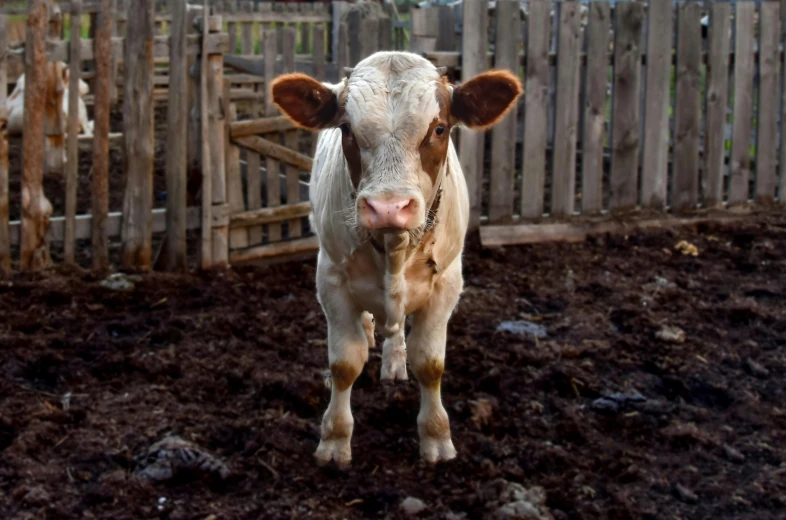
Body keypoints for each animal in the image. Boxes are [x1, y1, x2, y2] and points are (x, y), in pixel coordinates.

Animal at [270, 51, 520, 468]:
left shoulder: (448, 282)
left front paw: (436, 436)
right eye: (347, 129)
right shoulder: (330, 279)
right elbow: (344, 363)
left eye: (439, 128)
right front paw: (335, 439)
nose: (388, 208)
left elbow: (430, 363)